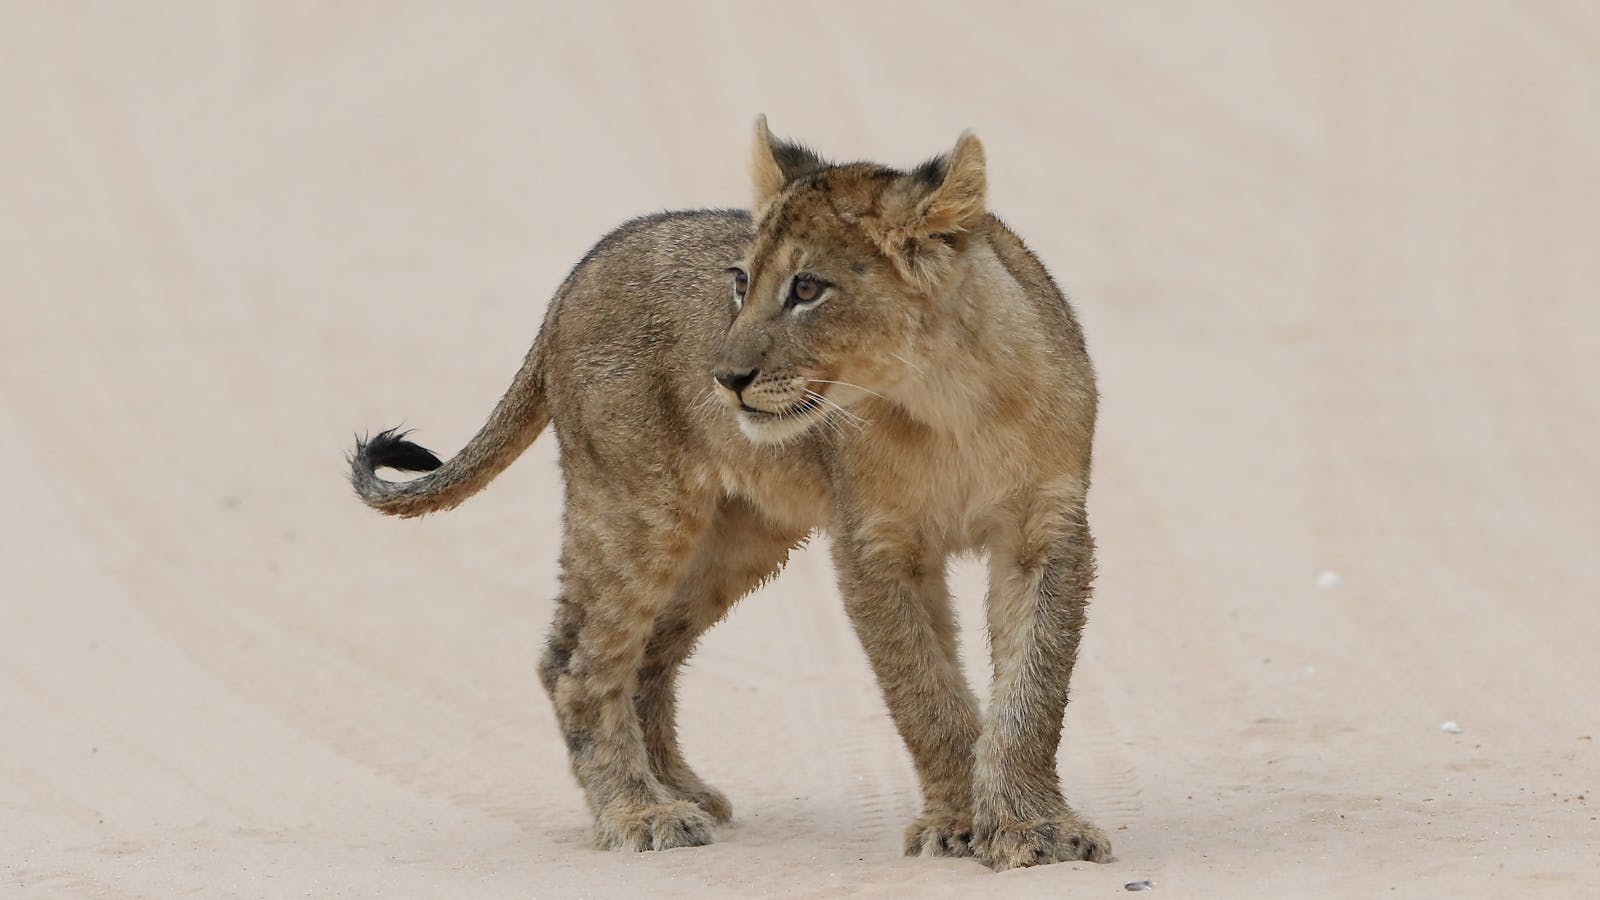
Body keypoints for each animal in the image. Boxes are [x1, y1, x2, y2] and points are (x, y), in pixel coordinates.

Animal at [349, 117, 1109, 870]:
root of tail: (578, 273)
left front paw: (1033, 824)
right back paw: (640, 811)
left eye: (808, 289)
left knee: (647, 652)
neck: (943, 399)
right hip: (638, 505)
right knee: (577, 661)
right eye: (741, 283)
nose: (725, 378)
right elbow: (925, 690)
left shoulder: (1046, 531)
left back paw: (677, 788)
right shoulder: (874, 544)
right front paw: (960, 821)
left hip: (742, 535)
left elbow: (1033, 690)